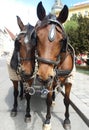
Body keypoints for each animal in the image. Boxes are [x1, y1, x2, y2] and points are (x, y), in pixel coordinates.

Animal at [35, 2, 74, 130]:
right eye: (37, 37)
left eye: (62, 40)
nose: (43, 75)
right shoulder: (50, 80)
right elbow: (47, 99)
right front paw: (47, 120)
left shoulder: (68, 80)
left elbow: (67, 100)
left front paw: (67, 119)